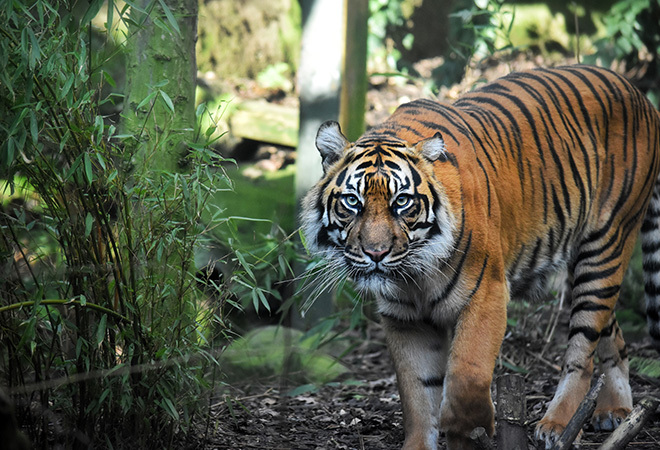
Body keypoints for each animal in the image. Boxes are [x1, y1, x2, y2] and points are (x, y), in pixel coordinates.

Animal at [300, 65, 660, 449]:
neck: (414, 276)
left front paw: (470, 433)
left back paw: (558, 424)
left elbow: (465, 381)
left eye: (403, 202)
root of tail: (639, 95)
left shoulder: (486, 295)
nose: (376, 252)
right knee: (613, 335)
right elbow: (417, 393)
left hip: (606, 245)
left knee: (582, 350)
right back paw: (615, 411)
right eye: (352, 202)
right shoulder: (404, 318)